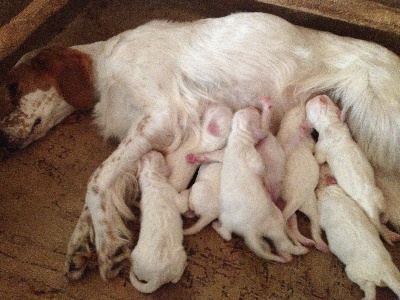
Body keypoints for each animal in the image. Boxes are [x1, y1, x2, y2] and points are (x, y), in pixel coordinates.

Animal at [130, 151, 188, 292]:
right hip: (181, 255)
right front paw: (187, 191)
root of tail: (156, 277)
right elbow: (183, 203)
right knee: (175, 279)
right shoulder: (175, 197)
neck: (151, 179)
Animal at [304, 95, 398, 245]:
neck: (332, 124)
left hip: (368, 211)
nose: (320, 95)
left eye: (310, 106)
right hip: (381, 198)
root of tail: (374, 205)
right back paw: (387, 222)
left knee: (379, 227)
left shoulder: (321, 147)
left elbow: (318, 159)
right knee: (385, 214)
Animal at [318, 164, 400, 300]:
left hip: (355, 273)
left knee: (370, 290)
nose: (322, 163)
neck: (332, 191)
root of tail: (385, 270)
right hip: (394, 270)